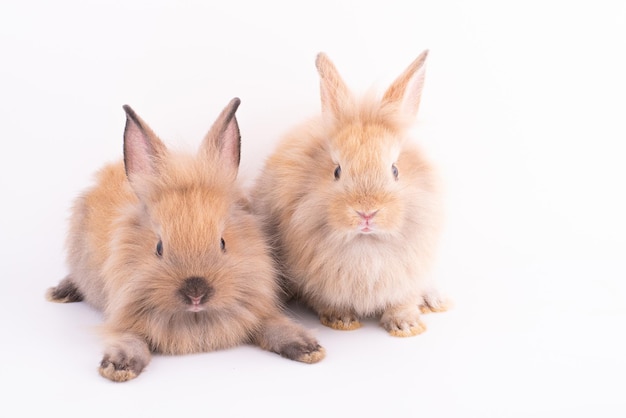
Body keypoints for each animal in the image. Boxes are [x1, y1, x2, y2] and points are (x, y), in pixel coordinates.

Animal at [46, 98, 324, 382]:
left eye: (223, 242)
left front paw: (308, 349)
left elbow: (274, 325)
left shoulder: (257, 309)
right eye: (158, 247)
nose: (196, 293)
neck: (196, 319)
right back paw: (60, 292)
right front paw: (118, 367)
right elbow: (129, 340)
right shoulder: (125, 319)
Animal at [249, 51, 448, 336]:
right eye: (337, 171)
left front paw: (406, 325)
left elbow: (404, 300)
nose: (366, 212)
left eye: (395, 170)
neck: (366, 244)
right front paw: (342, 320)